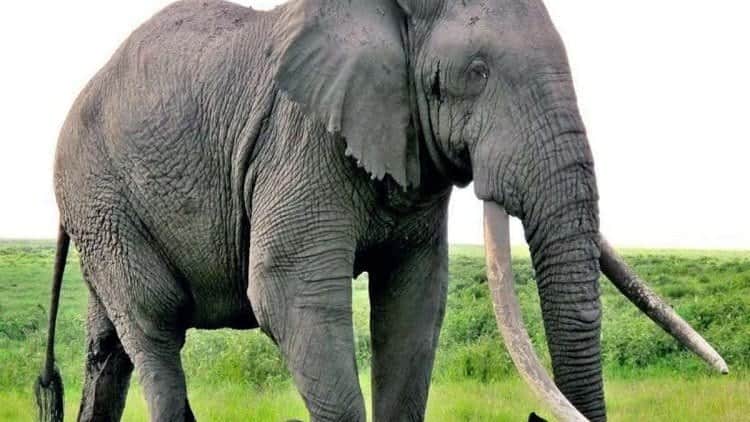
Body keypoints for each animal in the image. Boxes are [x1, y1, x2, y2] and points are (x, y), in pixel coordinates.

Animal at [34, 0, 728, 421]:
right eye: (476, 72)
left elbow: (414, 304)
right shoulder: (302, 138)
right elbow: (291, 295)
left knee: (108, 348)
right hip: (100, 194)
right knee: (153, 325)